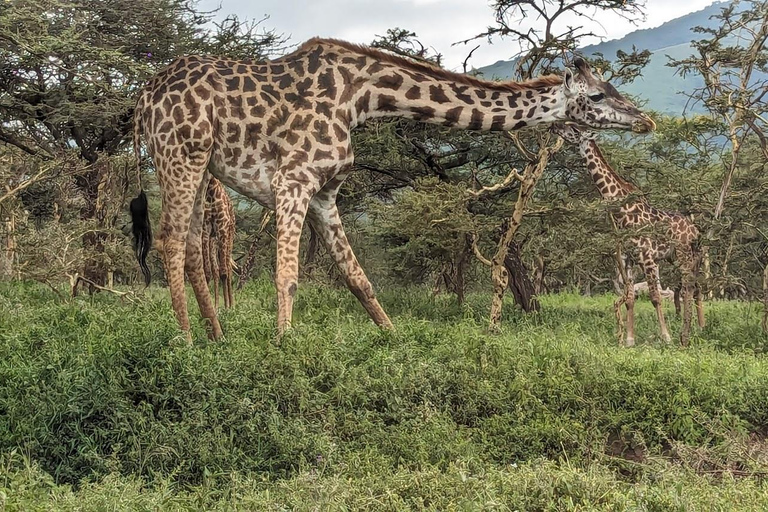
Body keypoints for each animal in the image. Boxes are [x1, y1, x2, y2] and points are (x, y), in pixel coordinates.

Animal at [200, 178, 236, 308]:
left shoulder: (222, 228)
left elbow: (223, 273)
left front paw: (226, 308)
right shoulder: (205, 230)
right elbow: (208, 272)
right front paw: (211, 306)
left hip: (229, 236)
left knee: (228, 269)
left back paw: (231, 304)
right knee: (216, 269)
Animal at [548, 123, 704, 348]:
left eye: (574, 129)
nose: (554, 125)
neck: (621, 209)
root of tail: (695, 230)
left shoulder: (647, 257)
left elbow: (655, 297)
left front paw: (666, 337)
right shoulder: (627, 257)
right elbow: (630, 298)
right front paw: (629, 340)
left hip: (684, 254)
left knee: (688, 289)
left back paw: (686, 334)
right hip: (674, 257)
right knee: (694, 287)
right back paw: (696, 329)